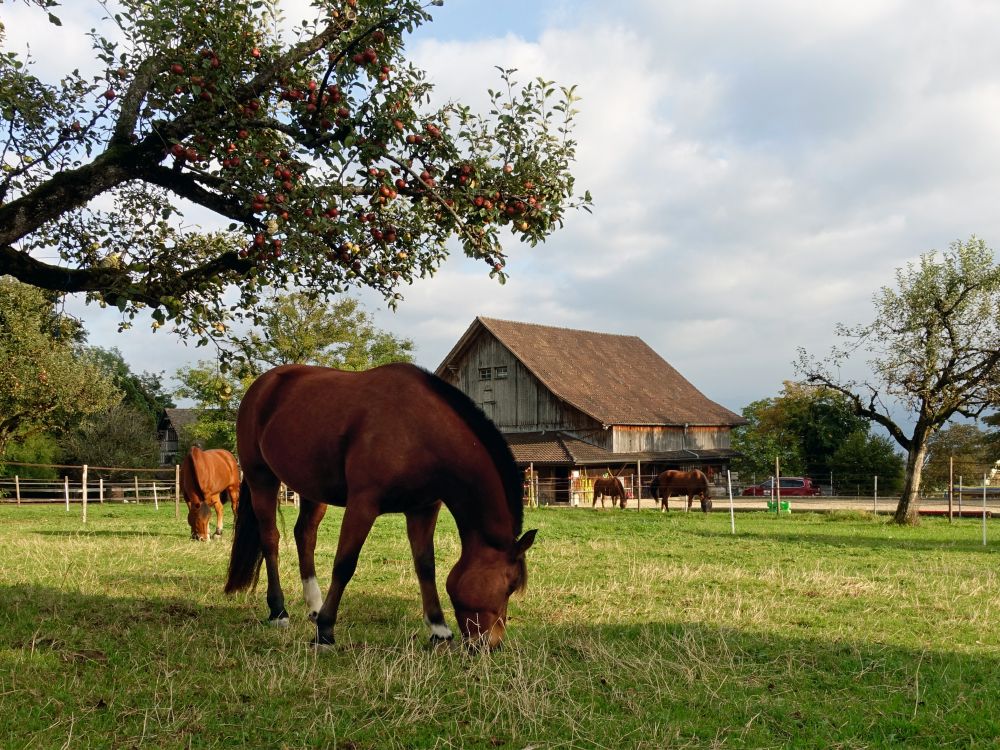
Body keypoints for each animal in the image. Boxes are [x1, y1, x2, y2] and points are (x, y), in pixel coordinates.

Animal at [225, 364, 540, 652]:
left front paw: (438, 629)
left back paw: (314, 605)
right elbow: (344, 565)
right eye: (510, 586)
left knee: (305, 535)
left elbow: (425, 566)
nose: (491, 644)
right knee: (271, 539)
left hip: (311, 488)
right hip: (261, 478)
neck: (420, 430)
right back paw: (279, 611)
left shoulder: (423, 509)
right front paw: (325, 633)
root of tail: (262, 385)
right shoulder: (363, 505)